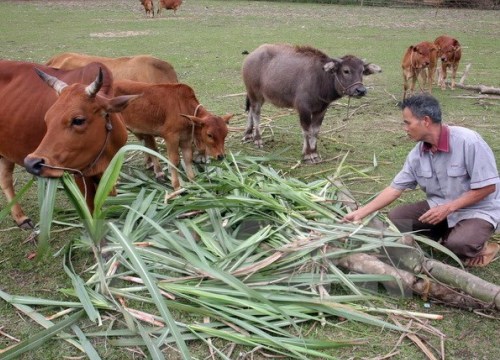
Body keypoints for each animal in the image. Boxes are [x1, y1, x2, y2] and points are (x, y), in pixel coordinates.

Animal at [0, 59, 137, 228]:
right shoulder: (79, 173)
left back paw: (20, 217)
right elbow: (90, 209)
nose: (31, 163)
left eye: (78, 120)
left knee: (5, 178)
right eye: (47, 118)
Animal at [241, 43, 378, 163]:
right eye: (346, 71)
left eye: (362, 71)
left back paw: (248, 135)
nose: (361, 90)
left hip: (259, 96)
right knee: (256, 113)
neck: (320, 78)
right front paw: (307, 155)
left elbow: (315, 131)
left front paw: (314, 152)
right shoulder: (304, 108)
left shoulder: (322, 109)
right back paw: (258, 139)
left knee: (251, 111)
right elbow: (306, 130)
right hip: (254, 93)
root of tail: (251, 55)